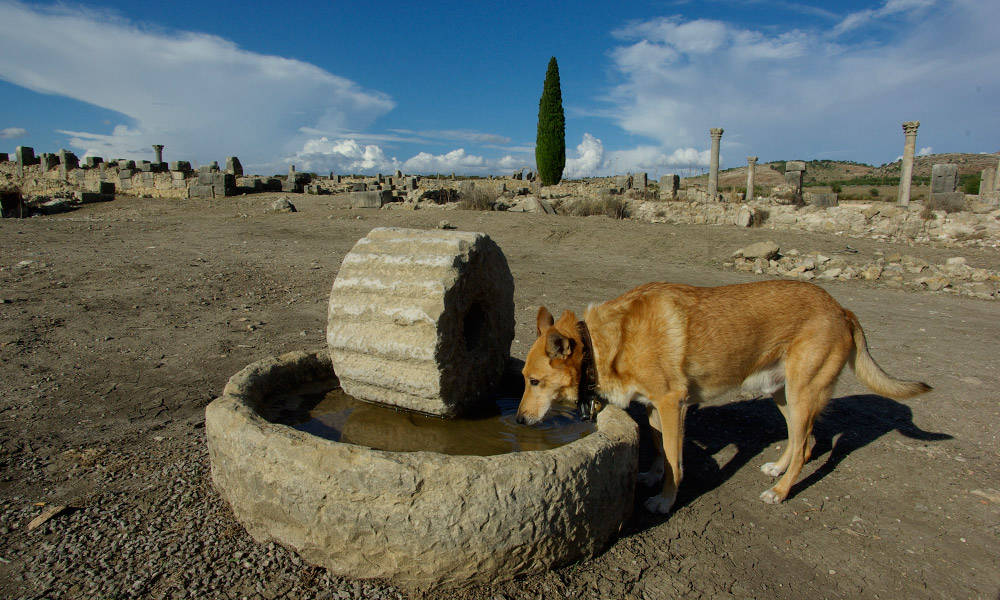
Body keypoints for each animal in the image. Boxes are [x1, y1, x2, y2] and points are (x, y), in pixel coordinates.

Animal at [520, 278, 932, 512]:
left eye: (534, 382)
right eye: (523, 379)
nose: (520, 420)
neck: (603, 343)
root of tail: (841, 308)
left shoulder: (672, 404)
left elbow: (674, 458)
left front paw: (666, 501)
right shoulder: (656, 408)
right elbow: (659, 449)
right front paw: (653, 476)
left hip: (802, 394)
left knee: (804, 445)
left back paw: (781, 491)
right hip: (783, 395)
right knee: (805, 440)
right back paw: (778, 469)